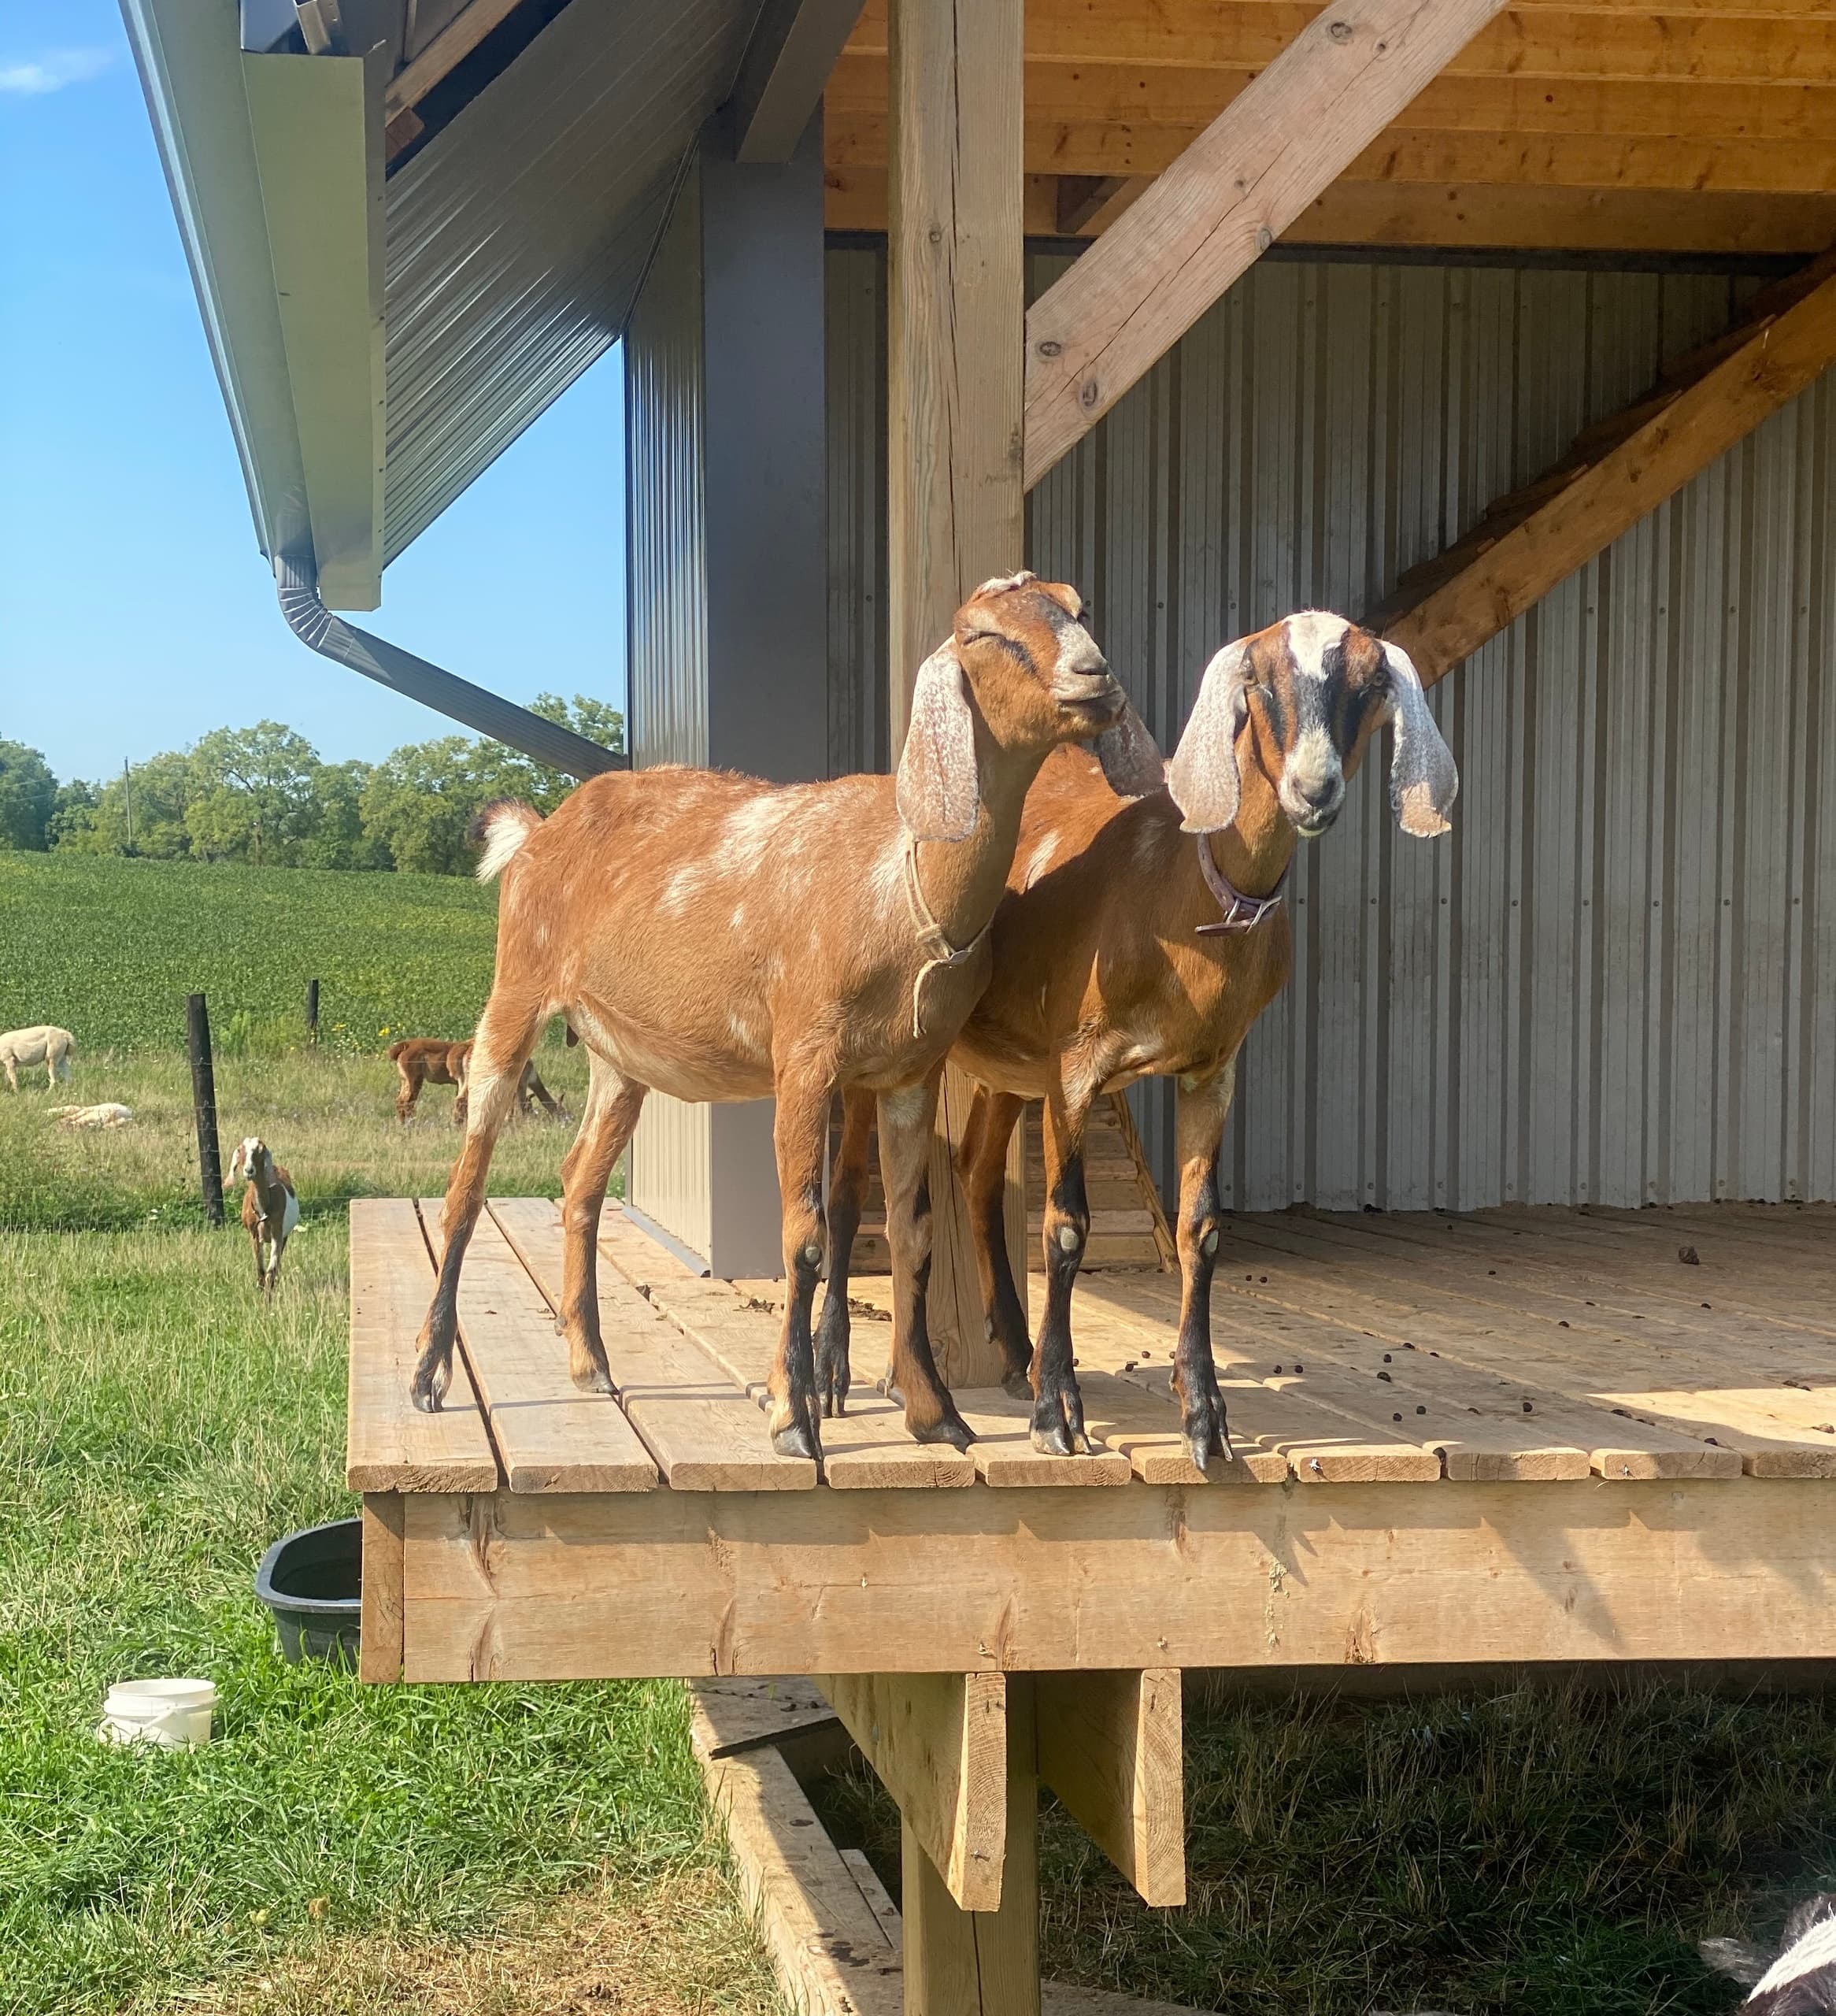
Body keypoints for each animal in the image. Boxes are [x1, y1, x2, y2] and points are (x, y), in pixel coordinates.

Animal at [226, 1136, 299, 1296]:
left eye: (260, 1150)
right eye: (240, 1150)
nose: (249, 1170)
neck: (264, 1209)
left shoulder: (277, 1234)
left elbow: (270, 1272)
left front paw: (268, 1296)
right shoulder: (254, 1235)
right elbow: (260, 1271)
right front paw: (260, 1291)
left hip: (285, 1236)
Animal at [409, 573, 1161, 1464]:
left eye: (1079, 609)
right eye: (982, 633)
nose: (1095, 677)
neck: (900, 881)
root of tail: (537, 831)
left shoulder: (910, 1073)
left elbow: (912, 1232)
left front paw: (934, 1409)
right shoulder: (804, 1057)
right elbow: (803, 1235)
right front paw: (792, 1415)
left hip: (617, 1057)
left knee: (579, 1184)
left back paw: (590, 1362)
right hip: (517, 991)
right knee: (465, 1186)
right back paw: (428, 1374)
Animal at [822, 612, 1457, 1469]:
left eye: (1369, 684)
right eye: (1260, 682)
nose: (1313, 788)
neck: (1182, 896)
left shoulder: (1211, 1070)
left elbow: (1202, 1229)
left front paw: (1204, 1412)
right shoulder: (1075, 1066)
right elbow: (1064, 1228)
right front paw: (1059, 1414)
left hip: (1007, 1062)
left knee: (978, 1171)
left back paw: (1015, 1352)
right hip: (897, 1051)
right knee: (850, 1188)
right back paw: (839, 1371)